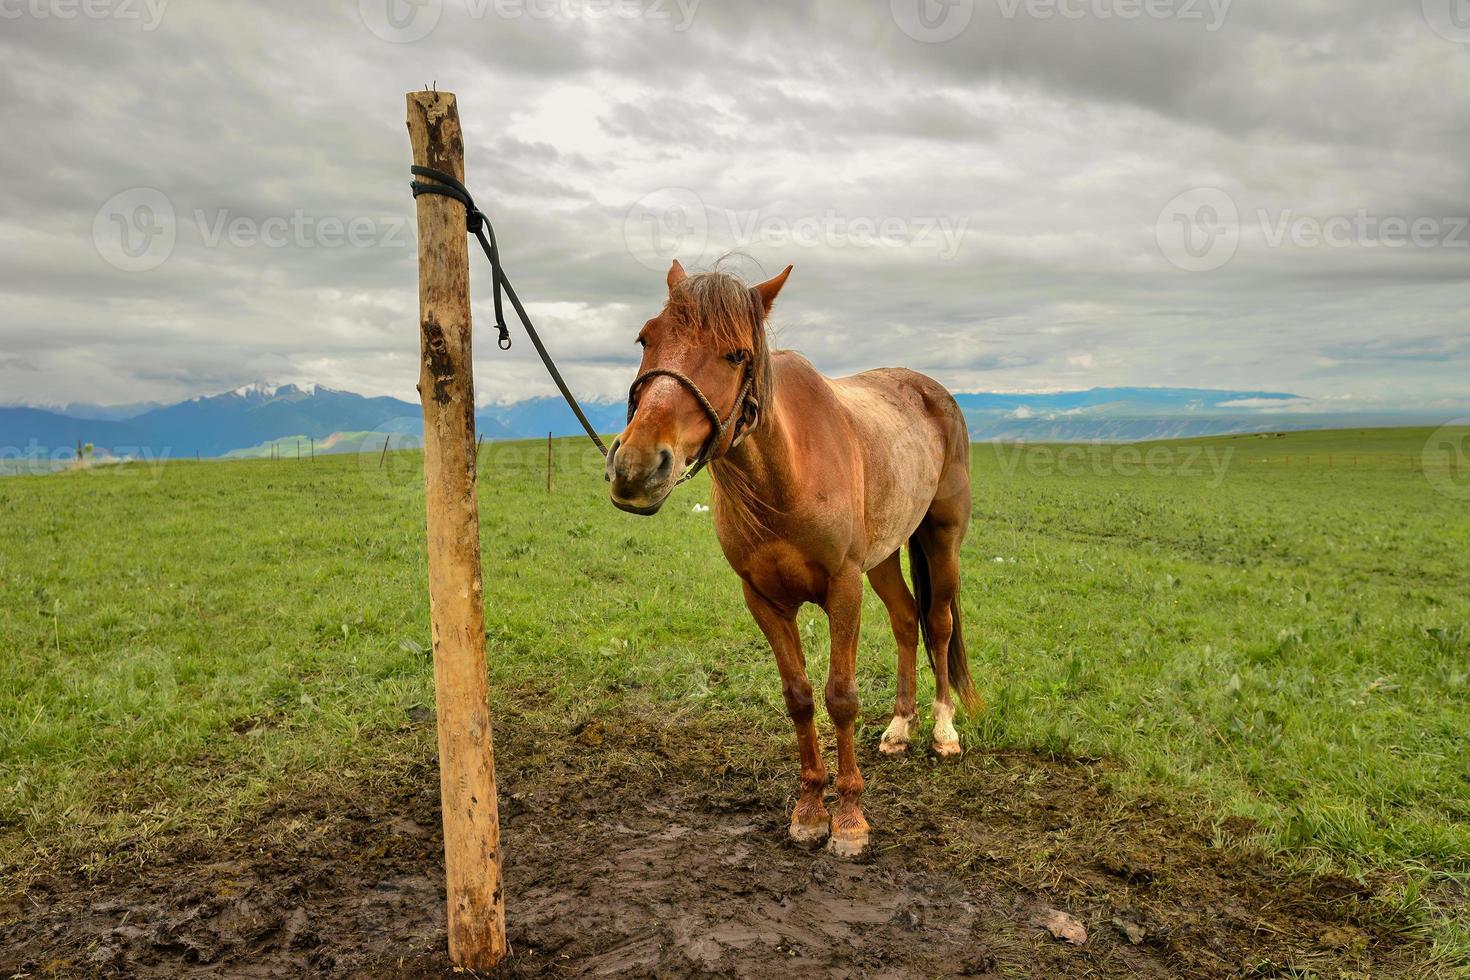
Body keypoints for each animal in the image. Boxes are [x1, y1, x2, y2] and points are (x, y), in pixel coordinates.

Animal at [608, 260, 976, 858]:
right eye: (645, 338)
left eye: (736, 354)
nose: (638, 466)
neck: (784, 477)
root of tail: (930, 390)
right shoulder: (763, 598)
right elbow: (800, 698)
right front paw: (809, 809)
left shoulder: (843, 587)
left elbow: (841, 698)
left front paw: (849, 819)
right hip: (882, 556)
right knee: (905, 620)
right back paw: (900, 727)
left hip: (941, 541)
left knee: (938, 624)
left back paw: (943, 732)